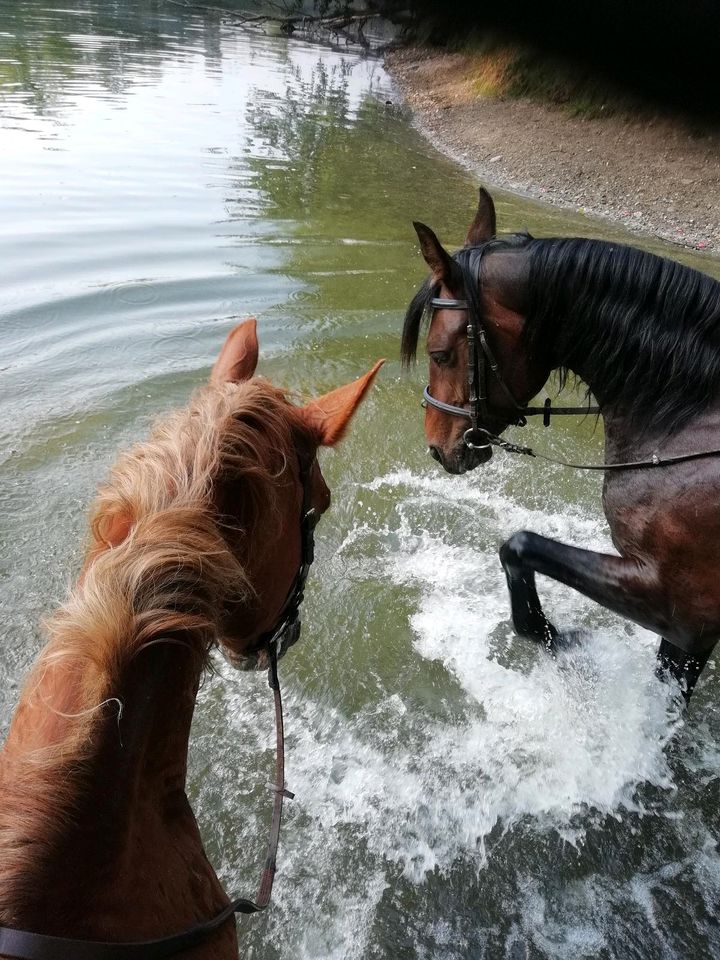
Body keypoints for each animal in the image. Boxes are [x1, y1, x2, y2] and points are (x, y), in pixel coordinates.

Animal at [402, 189, 720, 704]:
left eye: (440, 354)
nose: (436, 446)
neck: (693, 417)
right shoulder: (691, 628)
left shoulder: (680, 609)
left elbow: (518, 545)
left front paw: (561, 638)